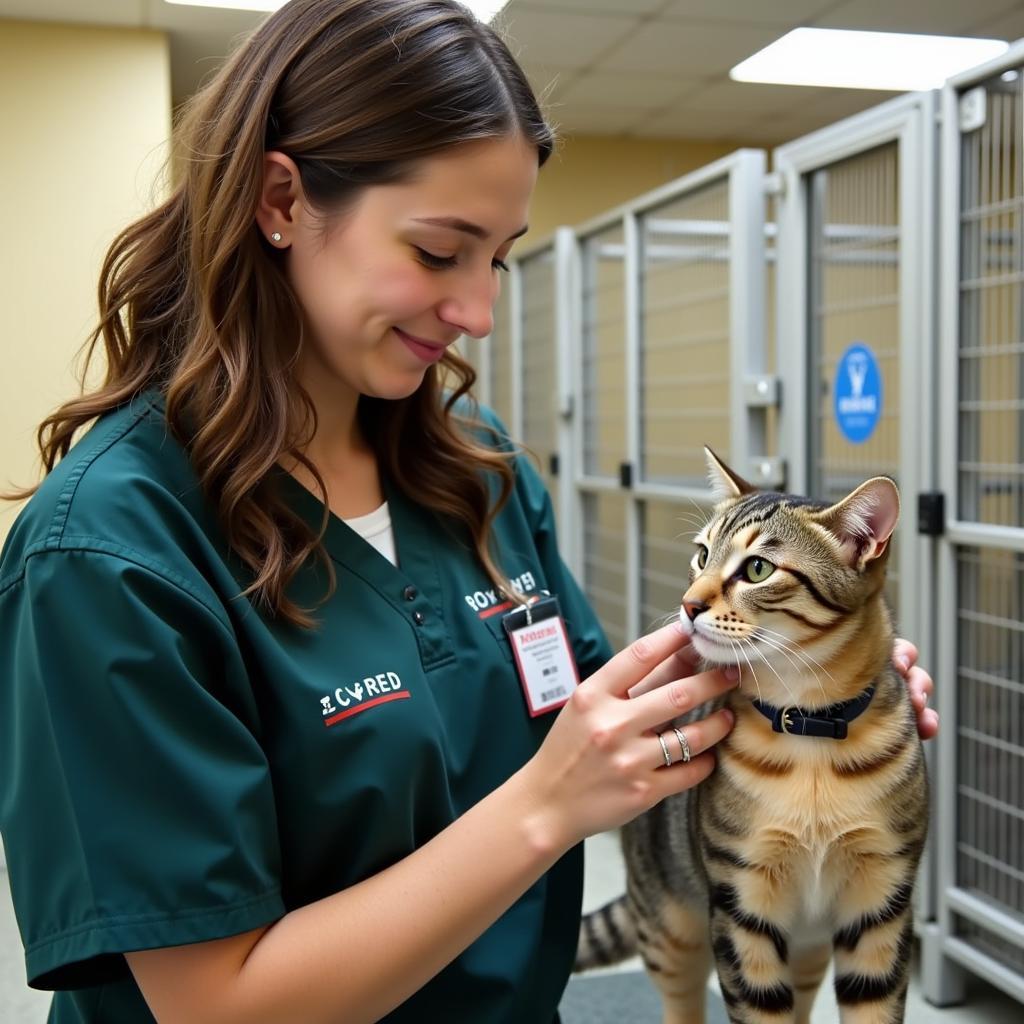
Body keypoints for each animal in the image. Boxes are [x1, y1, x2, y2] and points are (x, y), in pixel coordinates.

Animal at [585, 450, 929, 1024]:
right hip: (671, 930)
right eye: (702, 555)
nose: (688, 605)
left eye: (758, 569)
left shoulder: (882, 901)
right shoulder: (741, 903)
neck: (809, 728)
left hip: (810, 949)